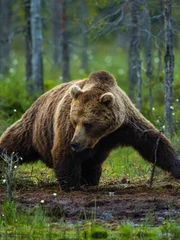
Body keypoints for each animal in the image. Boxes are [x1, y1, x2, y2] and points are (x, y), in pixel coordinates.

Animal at [0, 70, 180, 190]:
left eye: (88, 123)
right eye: (75, 121)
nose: (75, 143)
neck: (102, 135)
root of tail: (39, 98)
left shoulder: (126, 125)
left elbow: (152, 141)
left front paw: (176, 166)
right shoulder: (66, 124)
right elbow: (64, 151)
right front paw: (71, 185)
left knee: (92, 164)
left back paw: (91, 179)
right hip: (33, 127)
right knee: (13, 144)